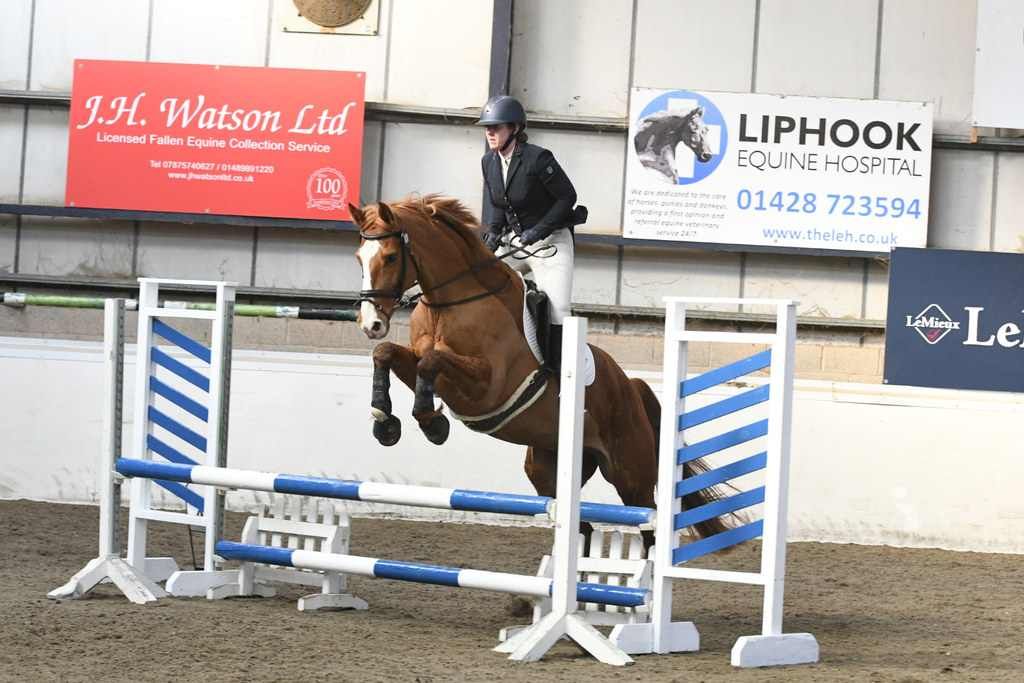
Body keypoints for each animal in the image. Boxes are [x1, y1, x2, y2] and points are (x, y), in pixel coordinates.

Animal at [352, 193, 729, 548]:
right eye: (359, 258)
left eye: (390, 257)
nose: (370, 324)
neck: (449, 304)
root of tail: (631, 386)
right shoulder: (424, 366)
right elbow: (388, 354)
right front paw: (385, 422)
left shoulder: (487, 386)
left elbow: (432, 362)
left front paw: (432, 424)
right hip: (549, 469)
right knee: (582, 526)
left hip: (630, 474)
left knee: (647, 525)